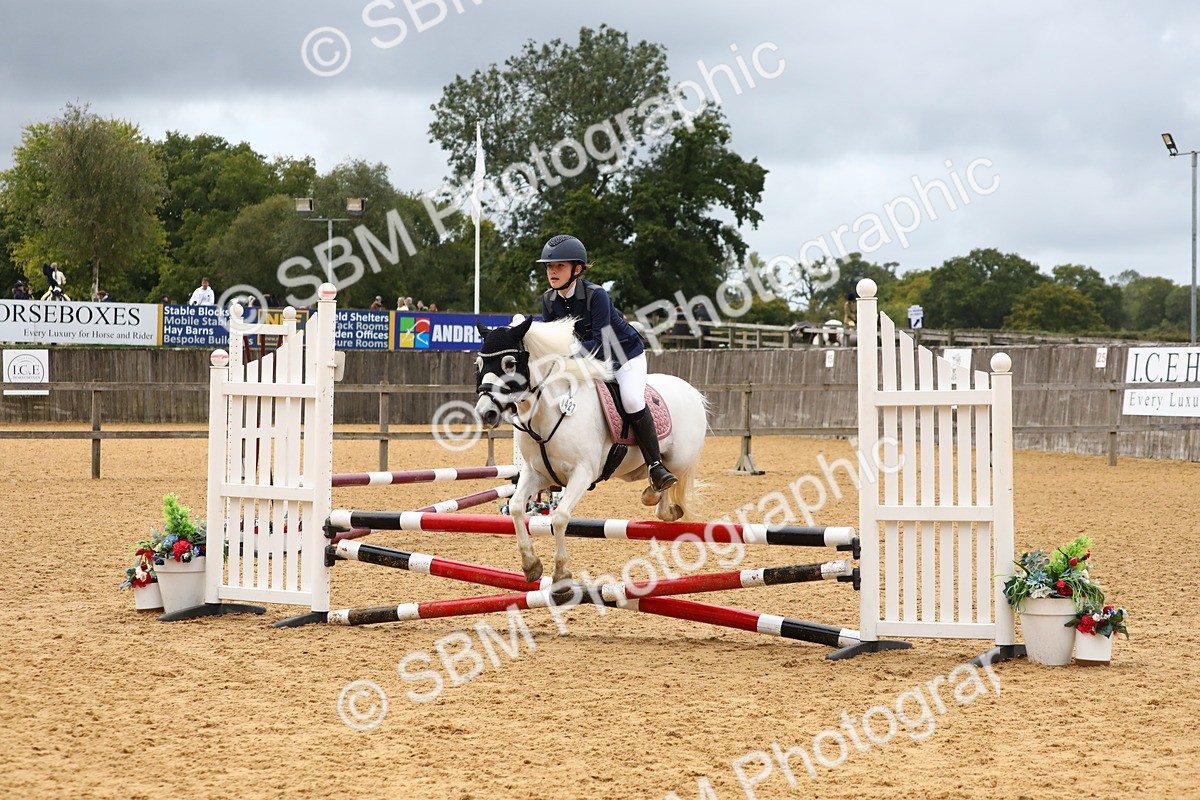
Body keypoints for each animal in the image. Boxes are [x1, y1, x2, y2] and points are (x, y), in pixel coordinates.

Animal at [474, 316, 708, 595]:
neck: (549, 412)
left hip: (680, 459)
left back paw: (661, 488)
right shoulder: (536, 473)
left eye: (509, 363)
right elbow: (518, 507)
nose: (485, 413)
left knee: (669, 476)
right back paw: (653, 494)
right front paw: (531, 565)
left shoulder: (582, 474)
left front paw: (562, 576)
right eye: (479, 364)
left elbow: (560, 518)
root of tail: (692, 391)